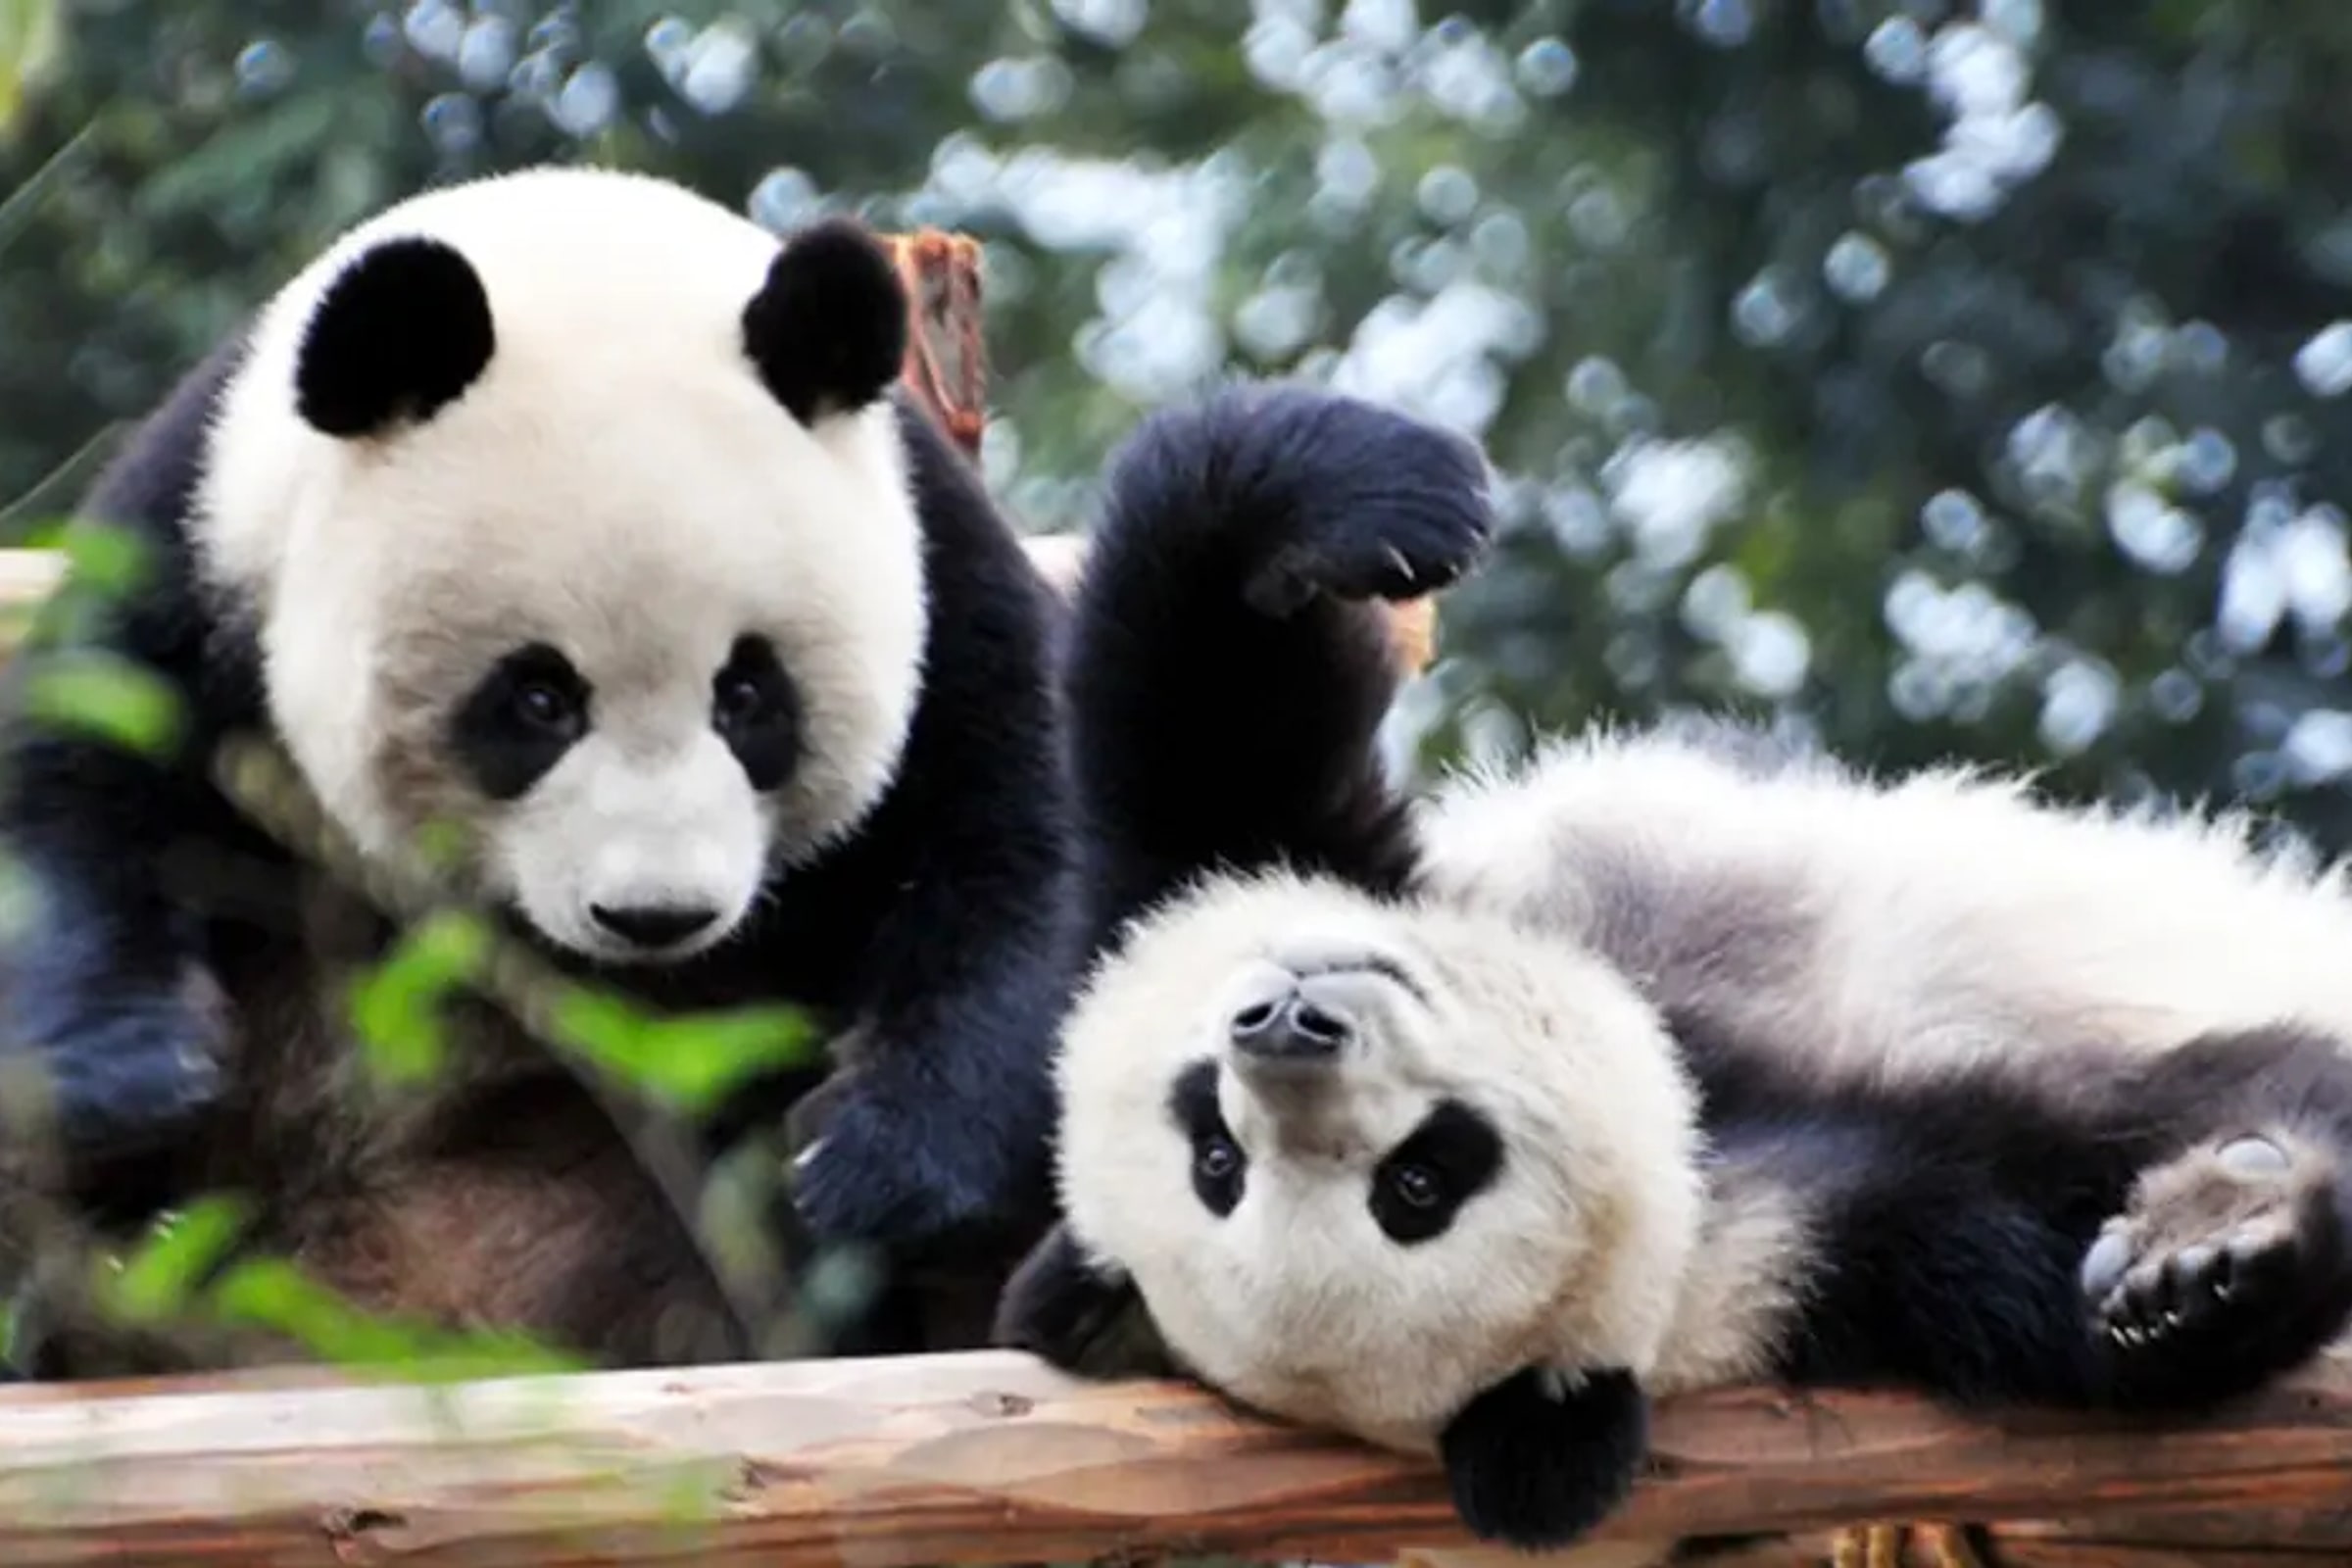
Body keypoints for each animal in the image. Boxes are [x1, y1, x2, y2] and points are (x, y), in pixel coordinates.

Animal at [0, 164, 1083, 1376]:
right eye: (539, 699)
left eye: (748, 694)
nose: (656, 917)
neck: (577, 256)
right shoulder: (199, 542)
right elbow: (76, 781)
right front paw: (138, 1071)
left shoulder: (939, 575)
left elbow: (1027, 848)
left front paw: (864, 1165)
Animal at [993, 383, 2352, 1558]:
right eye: (1417, 1188)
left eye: (1207, 1150)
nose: (1286, 1026)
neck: (1682, 1093)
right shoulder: (1822, 1250)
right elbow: (2068, 1220)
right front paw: (2204, 1263)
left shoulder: (1229, 865)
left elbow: (1192, 708)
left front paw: (1364, 497)